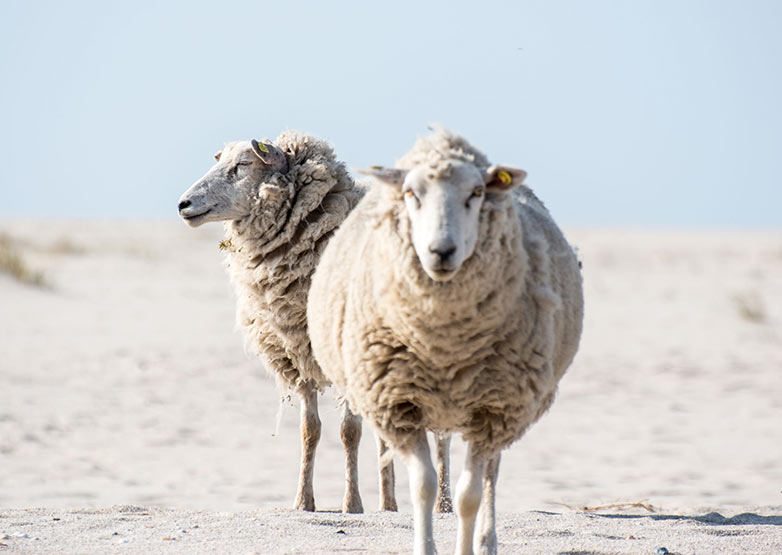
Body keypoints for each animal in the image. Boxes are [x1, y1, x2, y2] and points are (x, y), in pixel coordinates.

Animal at [178, 130, 398, 512]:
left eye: (242, 165)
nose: (183, 204)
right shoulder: (299, 353)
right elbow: (310, 430)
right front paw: (303, 501)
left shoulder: (347, 353)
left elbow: (349, 433)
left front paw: (352, 503)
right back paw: (389, 504)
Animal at [310, 127, 584, 555]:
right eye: (411, 193)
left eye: (476, 192)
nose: (442, 251)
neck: (444, 345)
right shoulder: (401, 404)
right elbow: (423, 487)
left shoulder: (492, 410)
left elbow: (469, 494)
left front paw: (467, 545)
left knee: (490, 475)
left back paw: (487, 541)